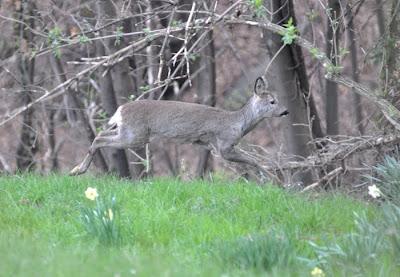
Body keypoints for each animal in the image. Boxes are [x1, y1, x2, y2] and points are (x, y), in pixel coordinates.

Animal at [69, 76, 288, 175]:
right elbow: (252, 160)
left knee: (100, 134)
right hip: (135, 135)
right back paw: (78, 170)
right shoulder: (224, 145)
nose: (286, 111)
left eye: (277, 99)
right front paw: (268, 174)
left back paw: (76, 169)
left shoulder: (210, 145)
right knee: (100, 138)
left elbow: (250, 157)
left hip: (126, 131)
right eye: (272, 102)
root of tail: (120, 109)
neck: (239, 123)